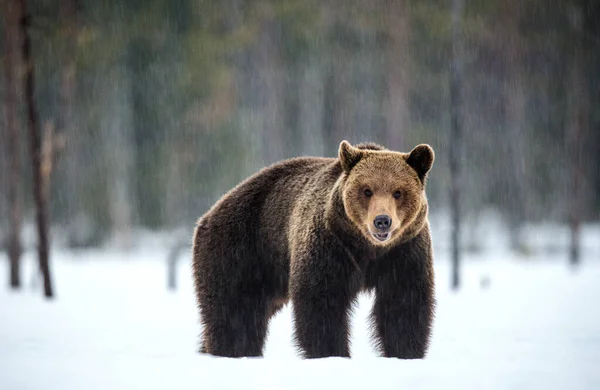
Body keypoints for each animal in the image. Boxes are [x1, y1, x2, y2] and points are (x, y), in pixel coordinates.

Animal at [195, 141, 434, 360]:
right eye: (367, 190)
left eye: (398, 192)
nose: (382, 221)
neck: (367, 249)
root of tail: (210, 211)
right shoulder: (330, 245)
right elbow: (322, 302)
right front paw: (331, 353)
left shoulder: (404, 251)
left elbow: (403, 304)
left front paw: (404, 352)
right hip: (241, 248)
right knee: (235, 312)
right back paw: (232, 352)